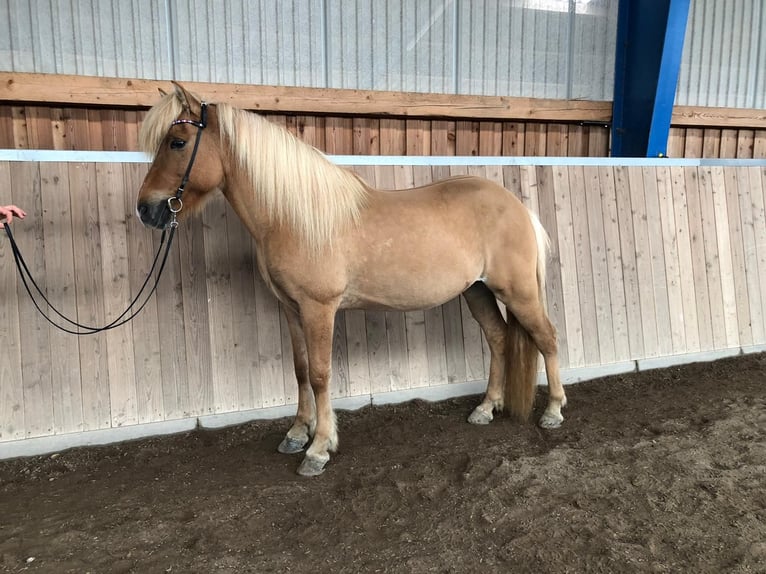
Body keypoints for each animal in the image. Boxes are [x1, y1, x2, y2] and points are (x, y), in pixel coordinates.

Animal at [135, 83, 567, 476]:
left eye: (177, 142)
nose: (146, 209)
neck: (295, 217)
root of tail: (517, 207)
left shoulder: (319, 308)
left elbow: (320, 374)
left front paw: (319, 448)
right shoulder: (291, 309)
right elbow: (300, 369)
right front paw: (297, 433)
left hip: (518, 292)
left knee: (546, 338)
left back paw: (554, 411)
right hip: (477, 291)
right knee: (498, 338)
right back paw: (486, 407)